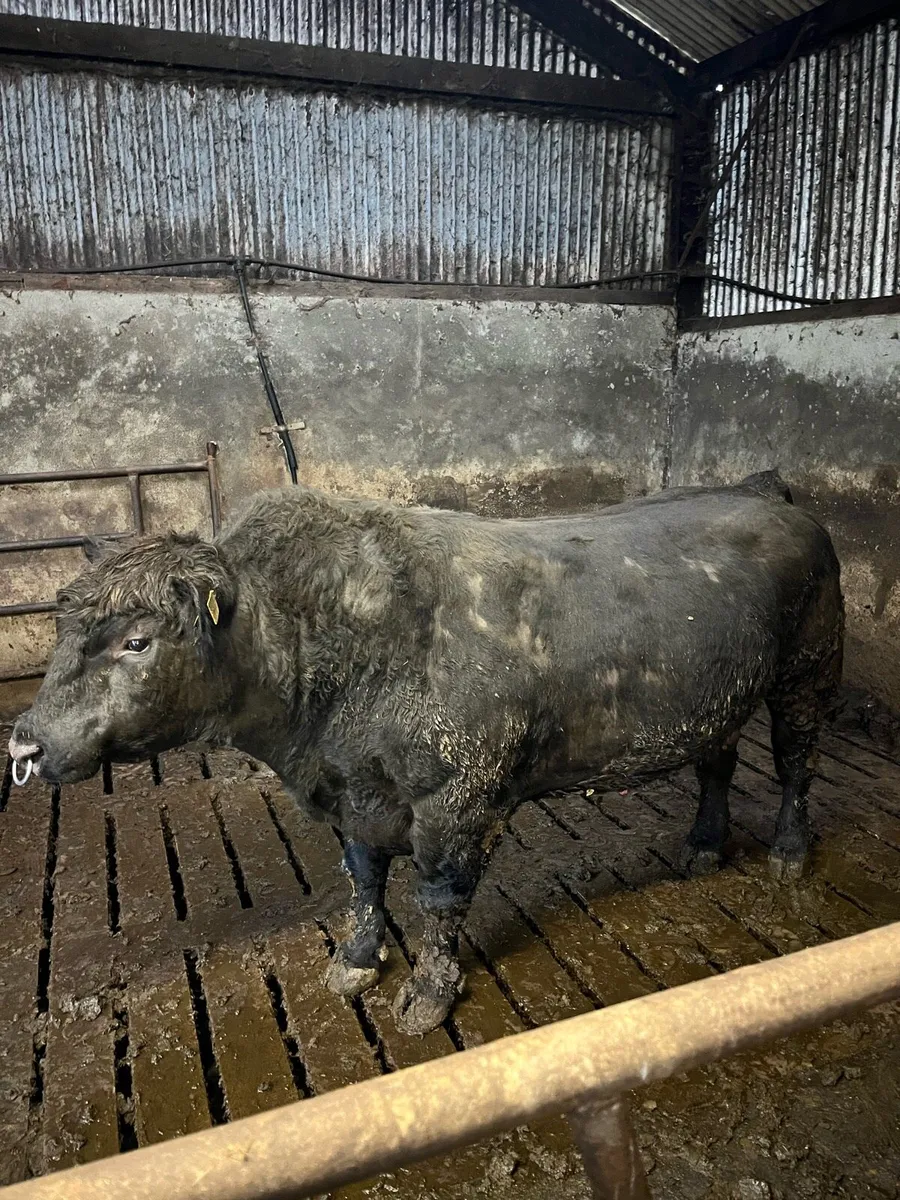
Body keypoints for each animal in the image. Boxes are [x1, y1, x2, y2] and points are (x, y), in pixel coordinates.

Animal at [9, 472, 843, 1035]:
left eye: (138, 641)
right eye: (62, 627)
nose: (26, 739)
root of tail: (766, 493)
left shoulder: (456, 798)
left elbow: (440, 897)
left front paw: (430, 992)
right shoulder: (354, 794)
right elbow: (364, 880)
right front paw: (355, 957)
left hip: (806, 673)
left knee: (797, 766)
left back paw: (788, 852)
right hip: (718, 700)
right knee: (718, 763)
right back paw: (703, 844)